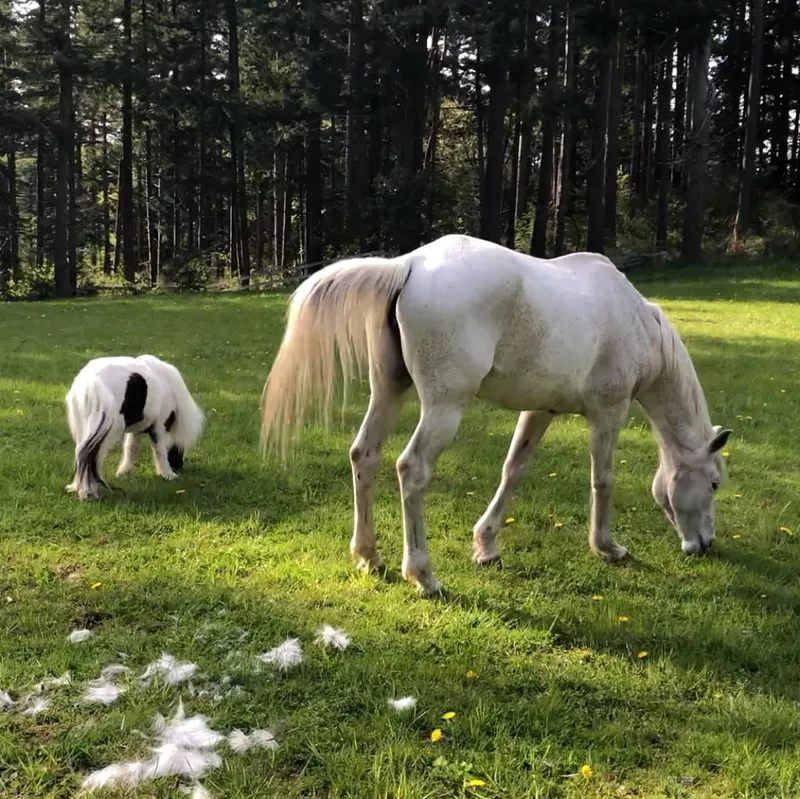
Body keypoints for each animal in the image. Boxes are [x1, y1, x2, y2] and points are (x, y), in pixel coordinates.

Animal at [65, 354, 205, 500]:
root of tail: (91, 384)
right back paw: (88, 492)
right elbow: (159, 450)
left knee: (82, 455)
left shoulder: (138, 428)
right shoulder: (159, 426)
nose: (178, 465)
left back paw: (78, 488)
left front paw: (123, 472)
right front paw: (168, 474)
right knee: (90, 456)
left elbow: (131, 447)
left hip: (84, 429)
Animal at [262, 234, 732, 596]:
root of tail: (410, 265)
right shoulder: (608, 413)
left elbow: (514, 470)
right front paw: (606, 547)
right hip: (444, 407)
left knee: (365, 455)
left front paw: (486, 545)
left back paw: (369, 556)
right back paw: (422, 575)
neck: (638, 324)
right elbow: (603, 479)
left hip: (388, 392)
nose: (705, 544)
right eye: (713, 483)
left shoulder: (539, 411)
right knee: (411, 469)